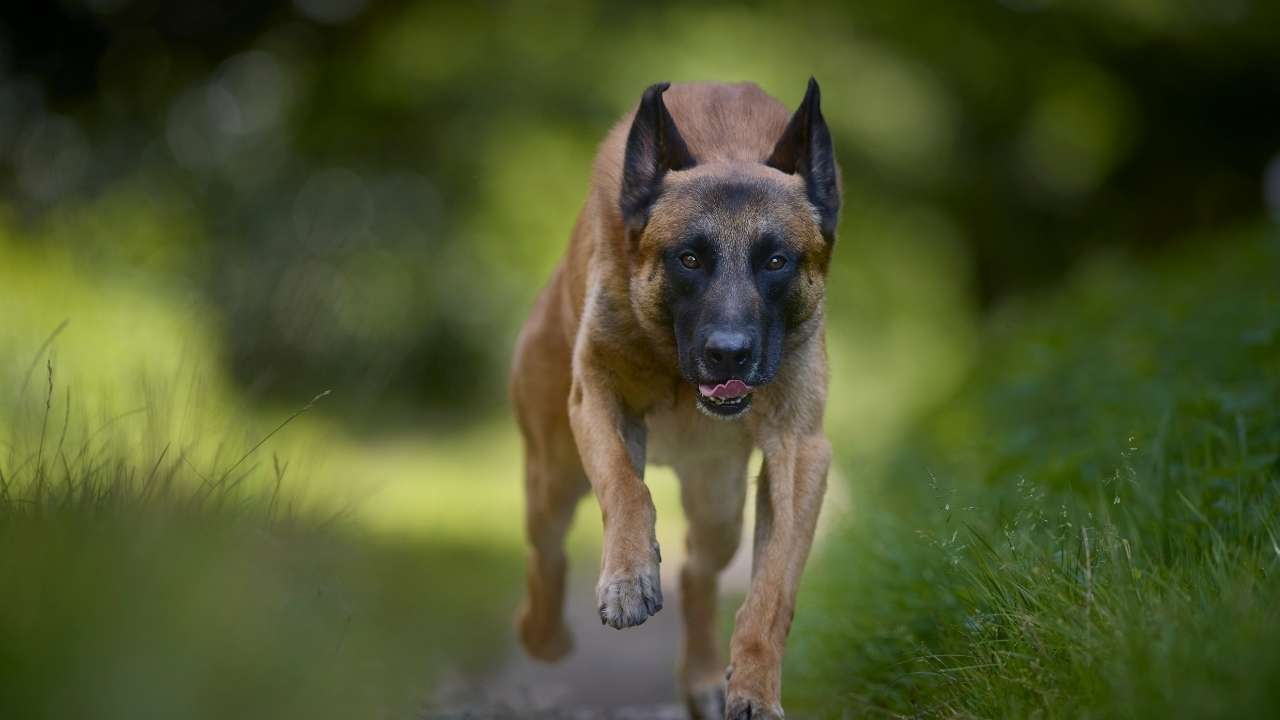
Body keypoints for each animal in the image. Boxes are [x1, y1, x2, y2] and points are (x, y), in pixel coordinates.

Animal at [509, 79, 839, 717]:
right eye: (689, 258)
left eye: (776, 260)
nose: (729, 355)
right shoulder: (597, 400)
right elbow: (625, 487)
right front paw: (628, 576)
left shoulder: (800, 450)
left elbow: (772, 591)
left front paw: (754, 686)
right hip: (553, 477)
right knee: (547, 550)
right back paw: (542, 632)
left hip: (720, 503)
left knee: (698, 574)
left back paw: (703, 676)